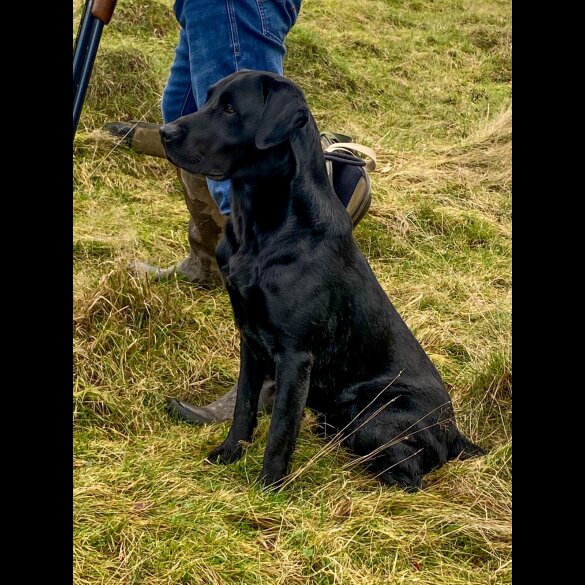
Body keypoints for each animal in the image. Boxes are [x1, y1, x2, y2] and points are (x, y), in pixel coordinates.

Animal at [157, 69, 482, 488]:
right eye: (210, 98)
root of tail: (455, 433)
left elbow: (280, 429)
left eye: (230, 109)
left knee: (408, 474)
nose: (164, 132)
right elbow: (244, 407)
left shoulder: (295, 355)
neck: (263, 229)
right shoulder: (250, 339)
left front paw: (268, 488)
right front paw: (228, 454)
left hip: (374, 413)